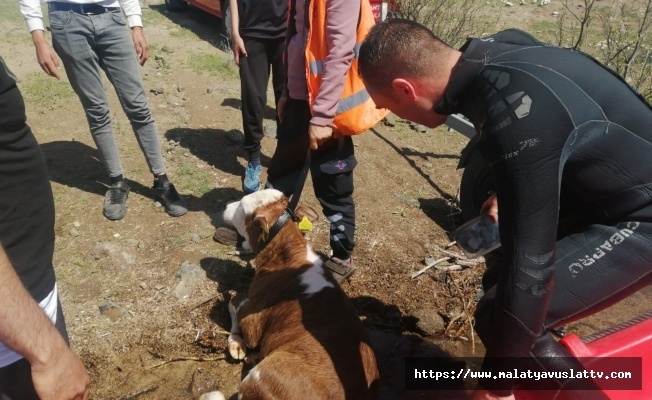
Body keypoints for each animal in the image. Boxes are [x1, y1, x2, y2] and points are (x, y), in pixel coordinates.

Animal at [222, 190, 380, 400]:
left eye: (241, 207)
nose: (226, 206)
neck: (286, 256)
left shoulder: (254, 322)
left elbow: (234, 300)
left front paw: (236, 341)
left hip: (267, 373)